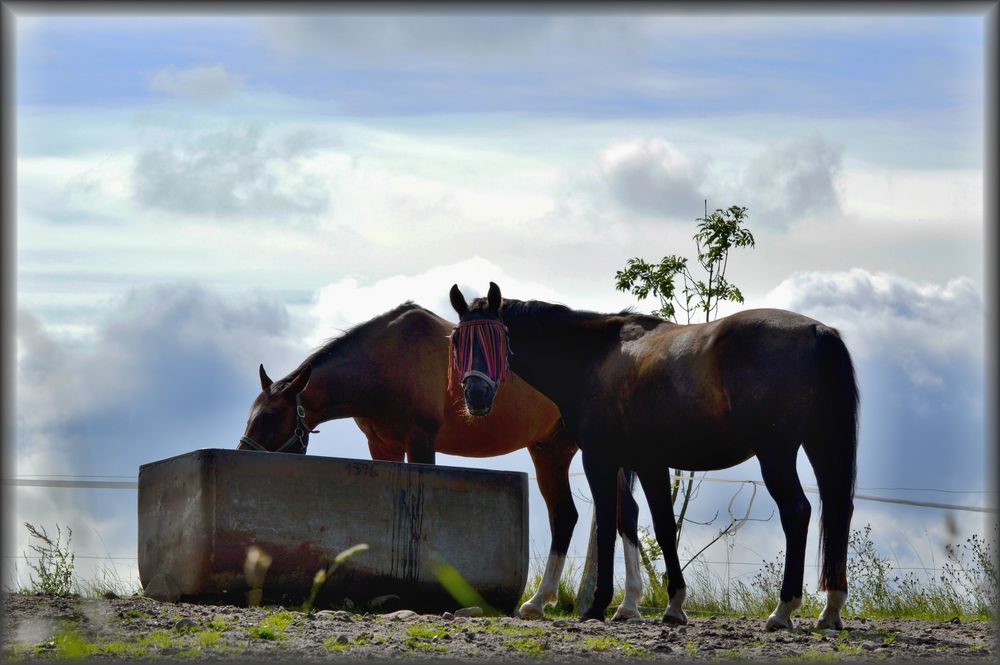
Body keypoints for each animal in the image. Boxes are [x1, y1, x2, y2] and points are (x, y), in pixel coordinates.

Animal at [235, 304, 644, 620]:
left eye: (271, 417)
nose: (243, 455)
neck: (387, 360)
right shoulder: (383, 447)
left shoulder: (421, 441)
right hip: (550, 451)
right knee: (568, 516)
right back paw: (540, 603)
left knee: (624, 513)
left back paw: (627, 606)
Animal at [450, 278, 856, 628]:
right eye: (457, 340)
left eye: (497, 336)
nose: (476, 396)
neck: (592, 356)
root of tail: (818, 332)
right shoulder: (646, 462)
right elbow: (657, 524)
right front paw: (671, 604)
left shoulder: (599, 458)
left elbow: (608, 525)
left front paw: (597, 604)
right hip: (820, 445)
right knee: (838, 509)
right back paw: (830, 611)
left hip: (776, 454)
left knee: (797, 512)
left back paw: (783, 610)